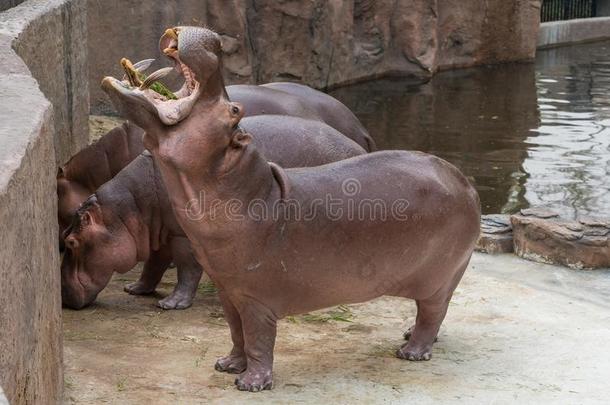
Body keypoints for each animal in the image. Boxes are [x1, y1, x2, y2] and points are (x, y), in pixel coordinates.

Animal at [60, 115, 366, 310]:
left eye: (71, 242)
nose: (61, 296)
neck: (127, 208)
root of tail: (358, 146)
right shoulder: (160, 231)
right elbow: (153, 264)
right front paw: (136, 289)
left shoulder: (183, 237)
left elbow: (187, 268)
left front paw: (170, 305)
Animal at [100, 26, 480, 392]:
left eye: (235, 110)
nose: (216, 42)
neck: (249, 191)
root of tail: (466, 182)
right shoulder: (229, 291)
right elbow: (235, 332)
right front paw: (227, 365)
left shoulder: (256, 300)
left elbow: (257, 339)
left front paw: (250, 384)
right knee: (432, 311)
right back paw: (408, 336)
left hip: (439, 277)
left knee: (433, 313)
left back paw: (411, 352)